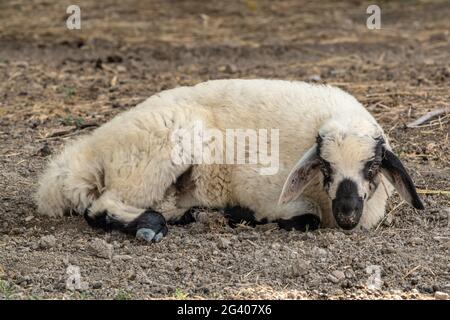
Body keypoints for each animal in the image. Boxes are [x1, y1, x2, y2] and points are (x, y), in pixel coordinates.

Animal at [36, 79, 426, 241]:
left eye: (372, 167)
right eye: (325, 166)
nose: (347, 215)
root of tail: (93, 150)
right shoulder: (261, 186)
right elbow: (306, 219)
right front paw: (253, 216)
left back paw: (195, 215)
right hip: (161, 148)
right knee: (101, 208)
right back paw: (151, 227)